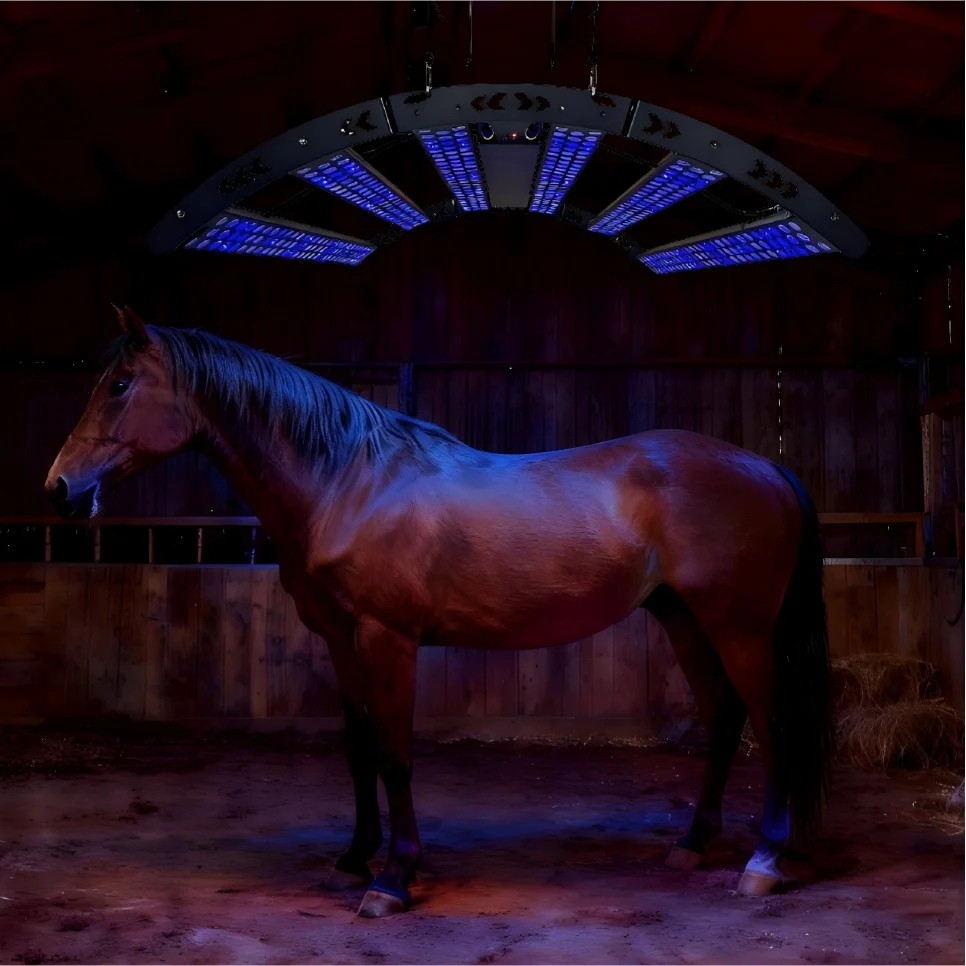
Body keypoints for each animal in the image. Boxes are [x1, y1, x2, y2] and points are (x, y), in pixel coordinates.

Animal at [46, 306, 833, 918]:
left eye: (119, 385)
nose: (59, 488)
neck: (350, 482)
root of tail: (768, 467)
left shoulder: (387, 638)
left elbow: (395, 753)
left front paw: (394, 879)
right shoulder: (341, 639)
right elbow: (360, 746)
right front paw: (357, 856)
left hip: (739, 627)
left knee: (773, 722)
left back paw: (763, 863)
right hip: (684, 619)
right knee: (726, 718)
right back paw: (693, 845)